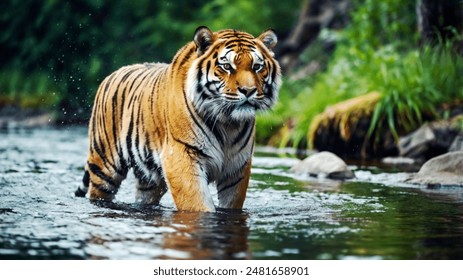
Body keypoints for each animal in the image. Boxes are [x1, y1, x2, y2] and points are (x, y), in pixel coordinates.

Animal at [75, 26, 282, 211]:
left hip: (150, 177)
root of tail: (112, 74)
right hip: (105, 165)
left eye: (257, 67)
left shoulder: (237, 167)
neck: (228, 123)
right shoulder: (182, 155)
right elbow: (197, 203)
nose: (248, 91)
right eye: (226, 66)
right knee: (98, 192)